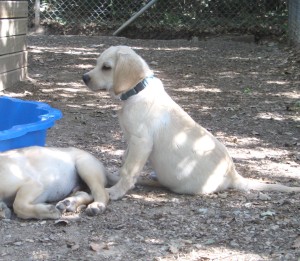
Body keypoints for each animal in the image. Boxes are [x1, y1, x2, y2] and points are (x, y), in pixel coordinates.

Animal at [82, 45, 300, 199]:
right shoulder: (130, 141)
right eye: (97, 63)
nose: (84, 77)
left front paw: (116, 191)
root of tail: (233, 176)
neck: (138, 90)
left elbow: (128, 169)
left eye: (106, 67)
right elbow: (124, 163)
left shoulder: (141, 142)